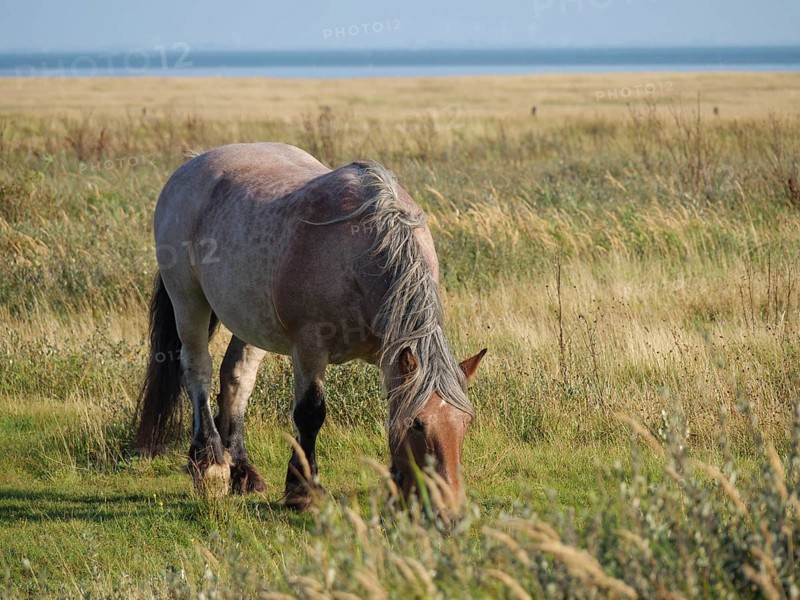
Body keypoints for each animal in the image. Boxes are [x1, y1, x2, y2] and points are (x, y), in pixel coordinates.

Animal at [134, 142, 486, 509]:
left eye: (465, 422)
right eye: (418, 425)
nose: (450, 508)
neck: (360, 252)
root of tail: (191, 165)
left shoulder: (390, 352)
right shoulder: (309, 347)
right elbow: (310, 413)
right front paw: (303, 489)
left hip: (250, 321)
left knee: (236, 377)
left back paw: (242, 469)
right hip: (188, 300)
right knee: (197, 369)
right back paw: (211, 463)